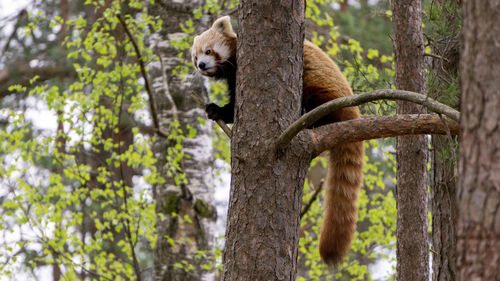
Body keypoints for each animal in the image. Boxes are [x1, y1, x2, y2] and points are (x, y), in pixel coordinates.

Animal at [191, 15, 364, 264]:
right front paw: (214, 110)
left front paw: (218, 110)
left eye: (208, 51)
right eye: (195, 57)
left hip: (321, 90)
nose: (201, 66)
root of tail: (354, 114)